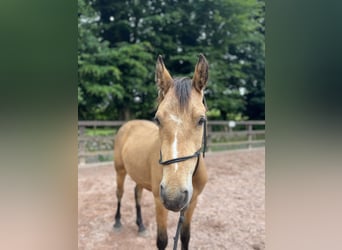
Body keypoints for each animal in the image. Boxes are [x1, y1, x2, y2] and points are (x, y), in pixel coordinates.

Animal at [113, 53, 208, 249]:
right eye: (157, 119)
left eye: (201, 120)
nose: (174, 197)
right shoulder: (159, 201)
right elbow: (162, 241)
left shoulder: (192, 202)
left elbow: (185, 237)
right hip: (120, 171)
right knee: (120, 194)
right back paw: (117, 222)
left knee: (137, 194)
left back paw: (141, 225)